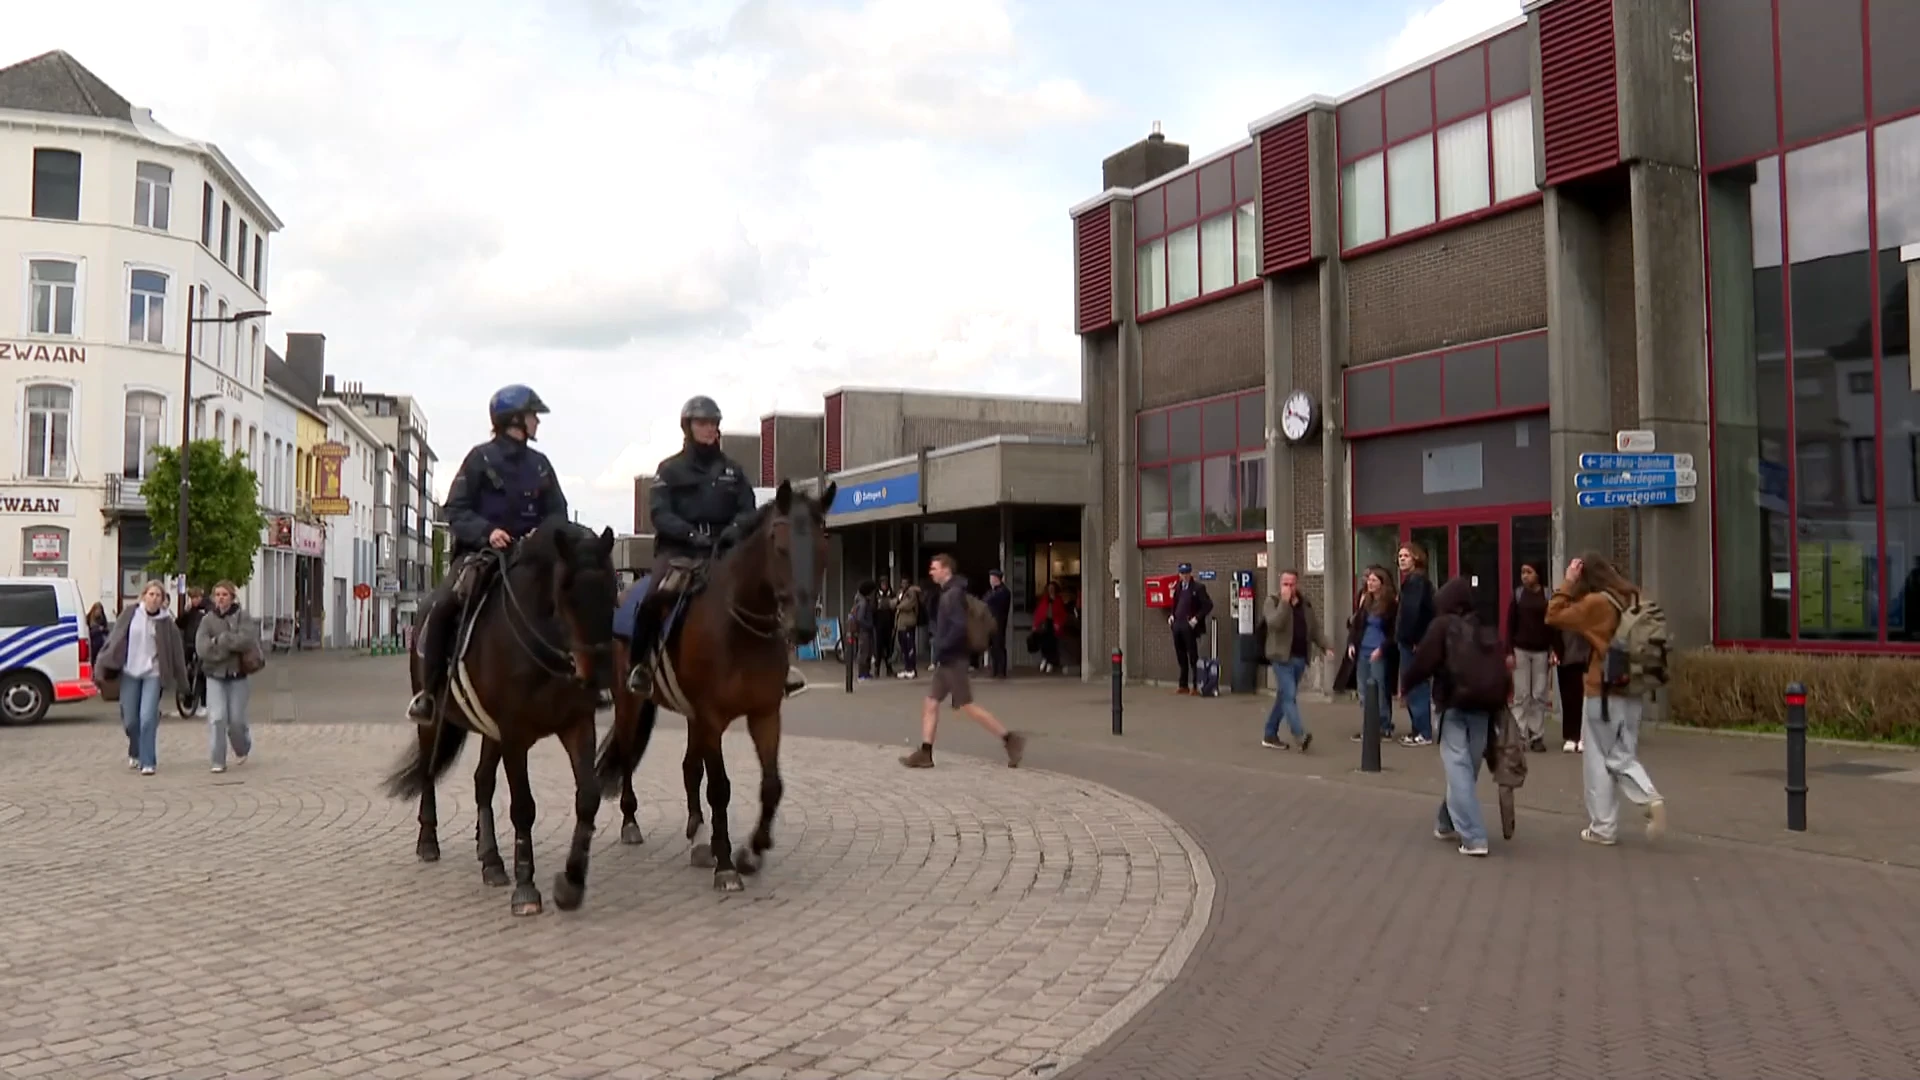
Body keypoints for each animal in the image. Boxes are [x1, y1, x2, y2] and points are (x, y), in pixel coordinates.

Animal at [374, 522, 614, 914]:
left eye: (612, 590)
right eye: (566, 593)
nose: (598, 678)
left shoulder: (576, 724)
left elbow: (588, 798)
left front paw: (571, 883)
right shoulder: (516, 735)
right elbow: (524, 807)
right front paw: (527, 889)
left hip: (491, 731)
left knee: (482, 782)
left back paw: (491, 861)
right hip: (435, 722)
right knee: (428, 772)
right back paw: (428, 842)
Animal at [591, 478, 833, 891]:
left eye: (822, 549)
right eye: (780, 547)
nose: (802, 628)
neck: (739, 627)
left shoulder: (764, 714)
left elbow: (772, 785)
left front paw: (753, 850)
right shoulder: (713, 717)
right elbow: (720, 787)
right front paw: (726, 864)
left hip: (692, 717)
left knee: (690, 767)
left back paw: (697, 834)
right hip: (630, 703)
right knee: (627, 756)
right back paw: (631, 823)